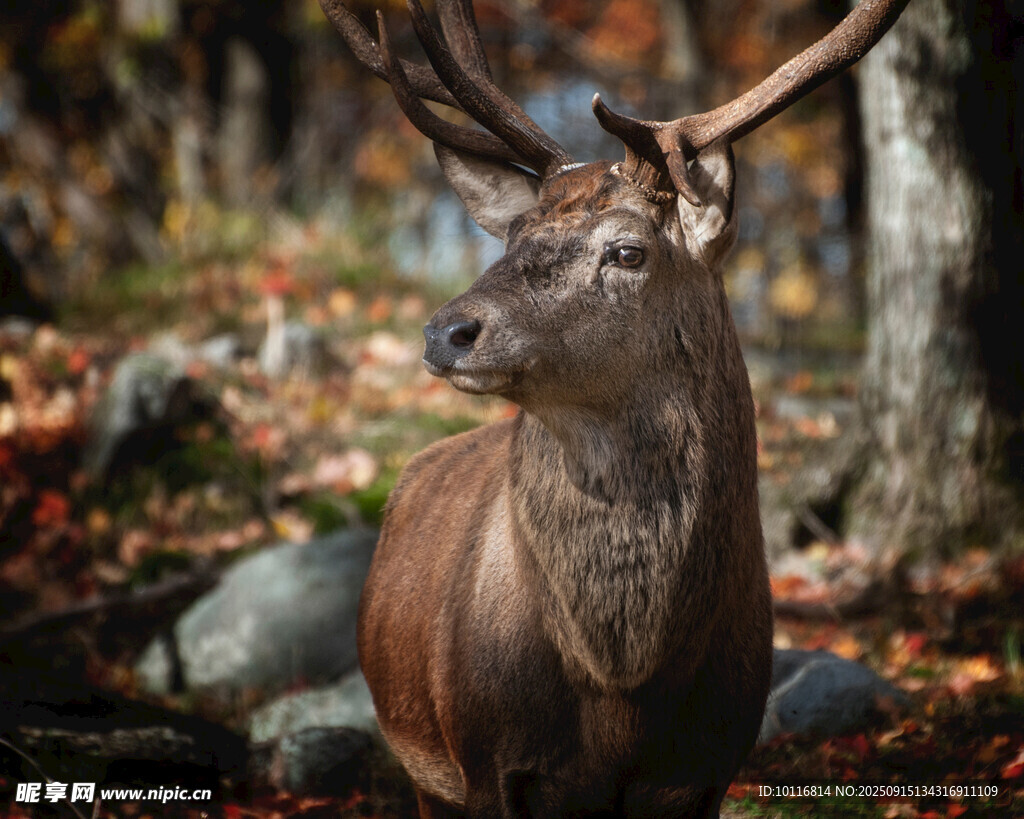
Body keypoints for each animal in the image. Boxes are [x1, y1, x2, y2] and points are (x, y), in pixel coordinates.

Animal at [319, 0, 909, 815]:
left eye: (628, 251)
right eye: (513, 237)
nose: (447, 330)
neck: (623, 693)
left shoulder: (711, 763)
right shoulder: (483, 759)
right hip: (420, 765)